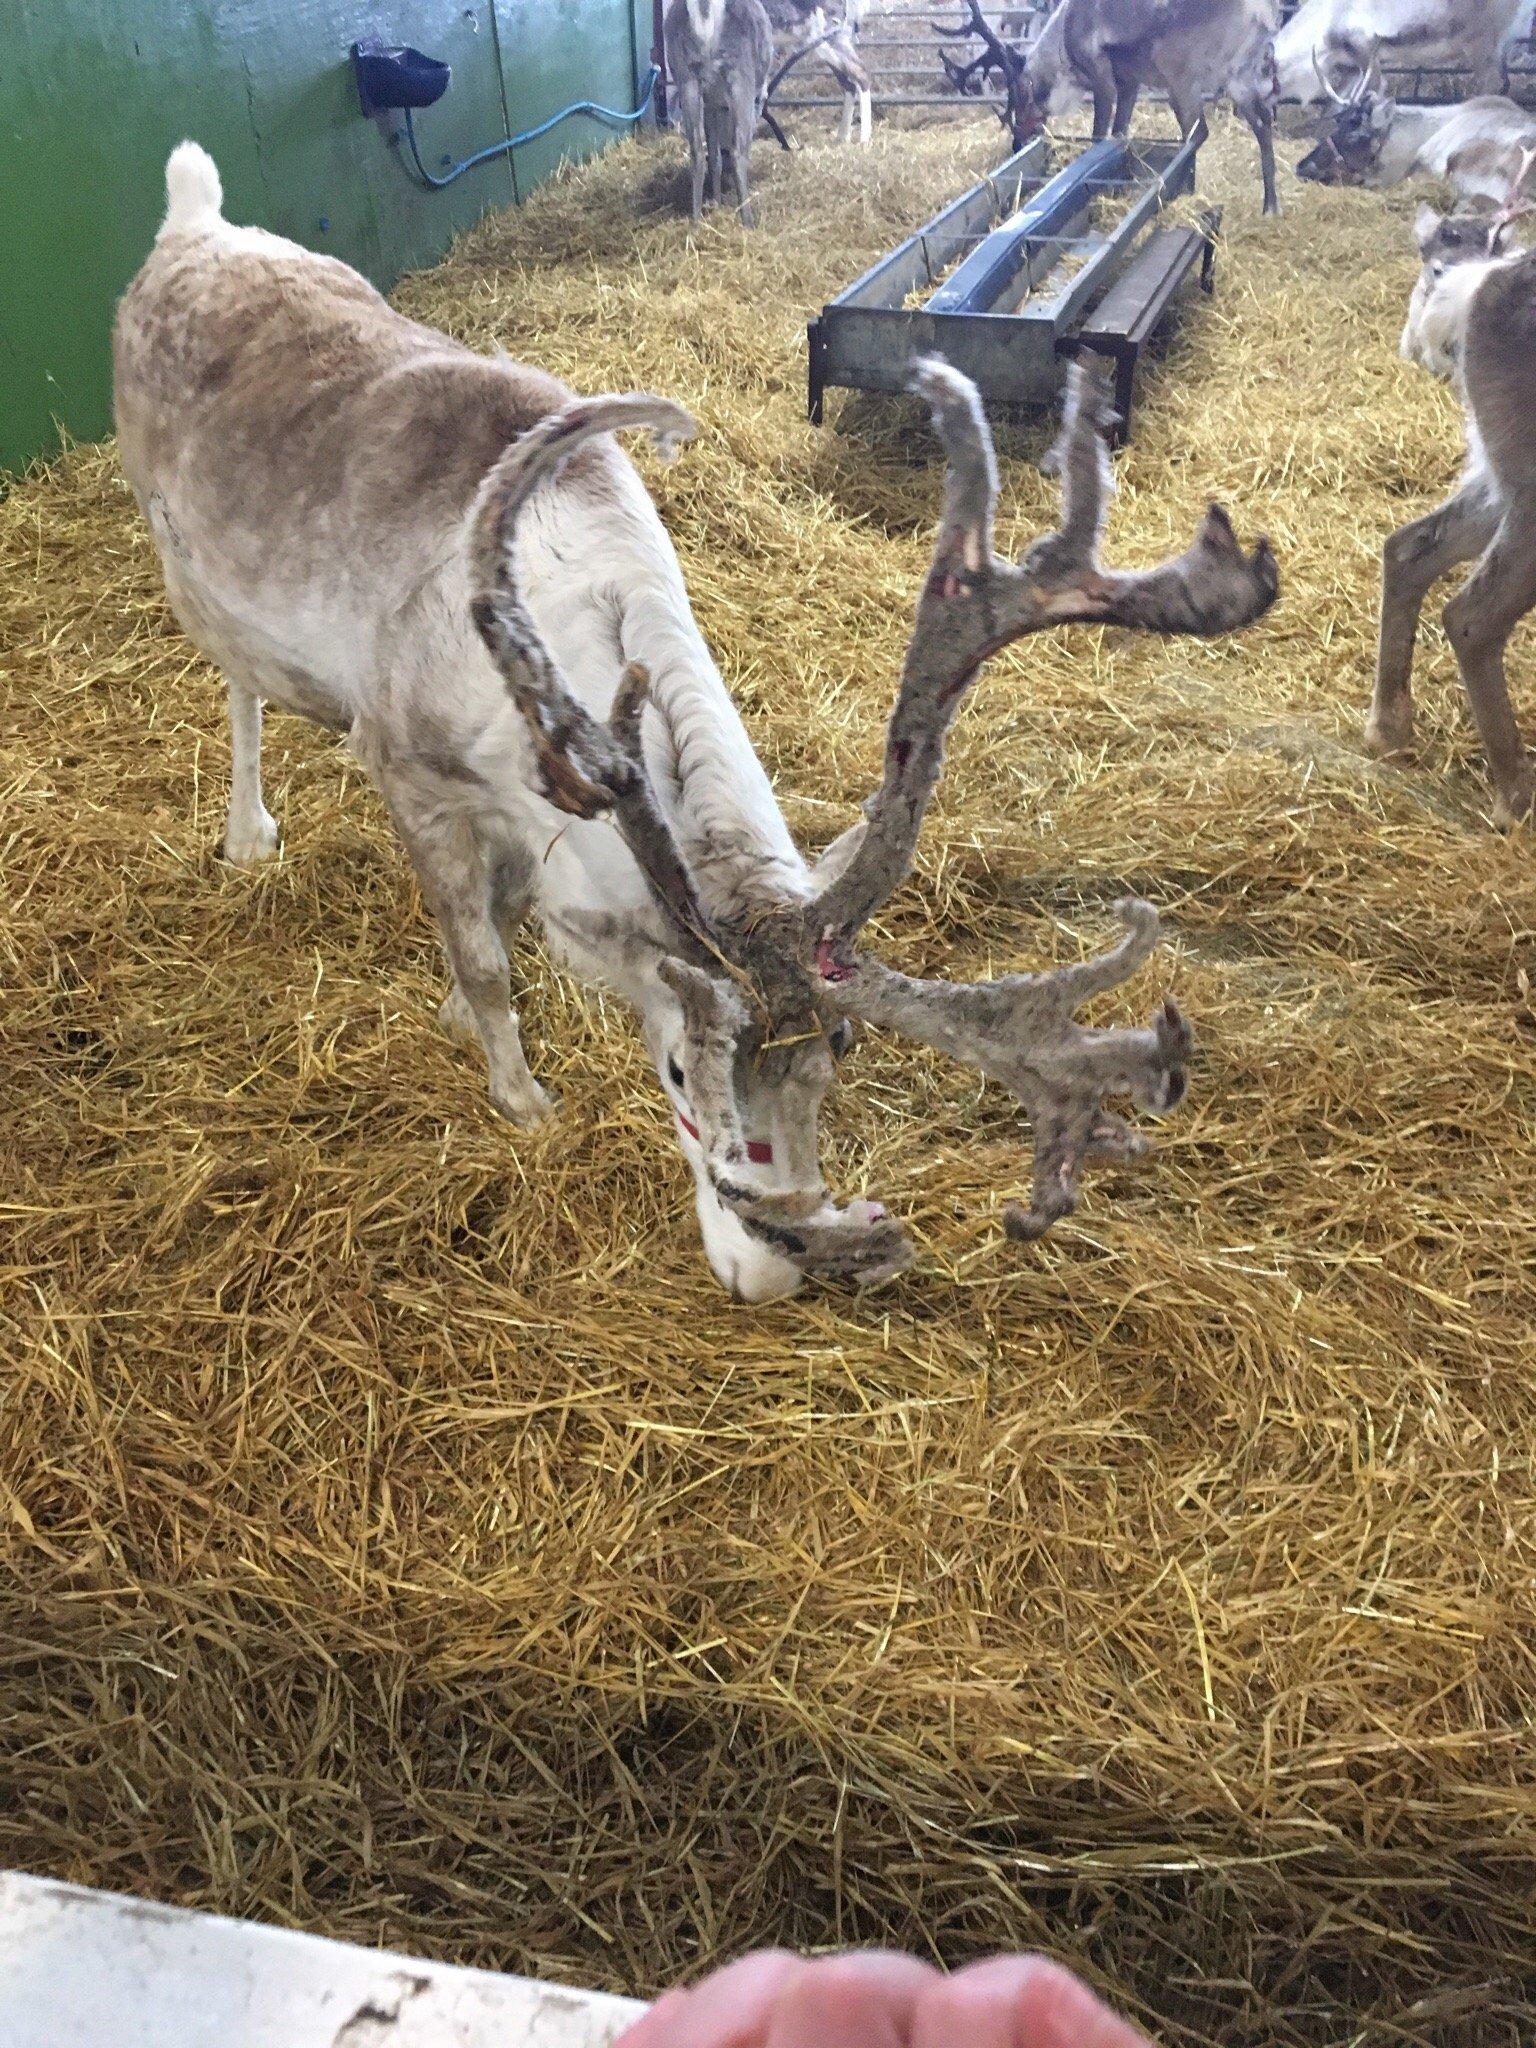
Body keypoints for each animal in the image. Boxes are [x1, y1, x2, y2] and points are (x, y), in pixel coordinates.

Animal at [114, 144, 1278, 1301]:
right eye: (679, 1068)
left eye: (835, 1057)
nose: (768, 1275)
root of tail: (190, 217)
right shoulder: (408, 766)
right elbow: (485, 956)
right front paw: (518, 1091)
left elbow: (501, 909)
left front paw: (460, 1003)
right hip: (180, 556)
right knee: (236, 682)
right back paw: (247, 831)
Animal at [664, 0, 775, 224]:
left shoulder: (711, 105)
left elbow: (715, 158)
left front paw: (716, 202)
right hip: (740, 76)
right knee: (738, 153)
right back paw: (748, 220)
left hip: (686, 76)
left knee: (697, 151)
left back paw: (696, 221)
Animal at [987, 0, 1283, 215]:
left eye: (1019, 105)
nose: (1016, 144)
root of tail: (1261, 10)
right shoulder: (1129, 83)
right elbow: (1120, 133)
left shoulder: (1103, 79)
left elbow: (1099, 135)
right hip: (1240, 78)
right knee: (1263, 124)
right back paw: (1270, 207)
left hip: (1180, 77)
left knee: (1197, 134)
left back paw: (1183, 192)